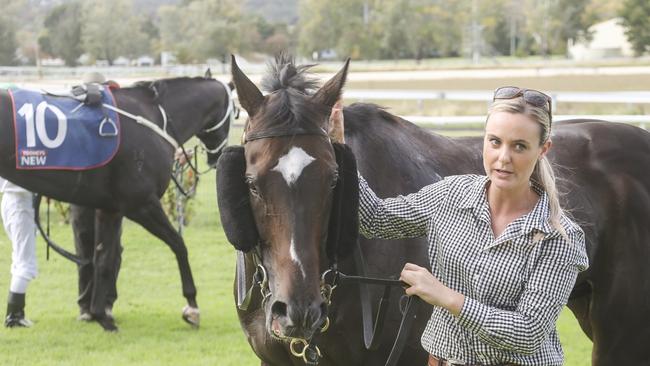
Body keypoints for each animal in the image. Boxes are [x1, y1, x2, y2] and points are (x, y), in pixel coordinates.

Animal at [0, 75, 233, 332]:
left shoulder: (110, 209)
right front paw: (192, 307)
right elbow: (178, 244)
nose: (218, 156)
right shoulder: (141, 204)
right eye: (235, 111)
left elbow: (103, 259)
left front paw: (102, 317)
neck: (154, 116)